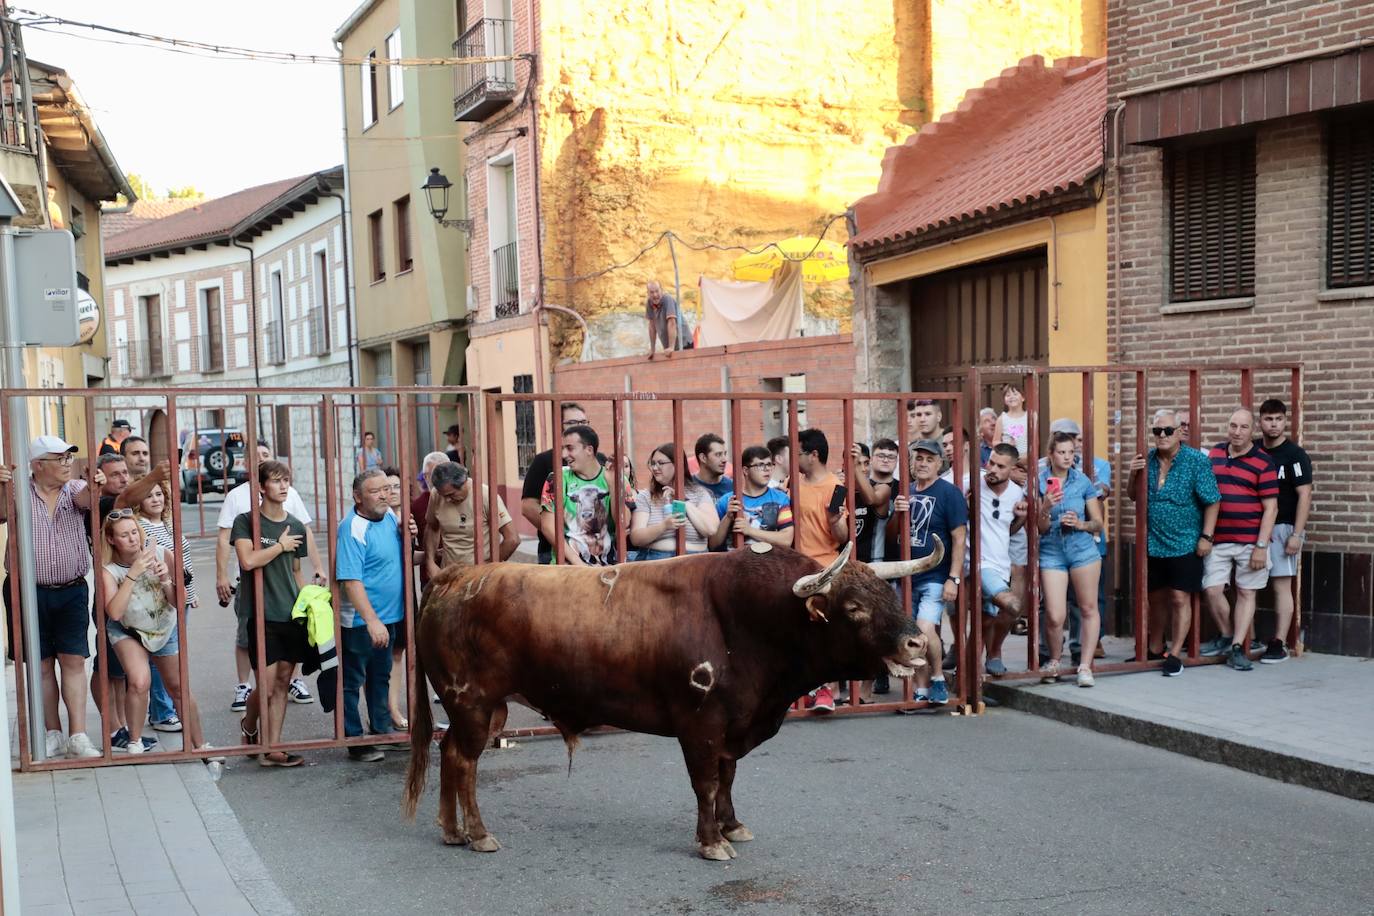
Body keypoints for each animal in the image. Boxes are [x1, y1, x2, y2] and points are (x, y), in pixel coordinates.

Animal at [403, 538, 945, 862]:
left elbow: (728, 778)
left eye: (888, 593)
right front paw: (711, 842)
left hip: (481, 709)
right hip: (473, 704)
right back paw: (478, 834)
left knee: (451, 754)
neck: (751, 618)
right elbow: (705, 783)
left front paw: (732, 826)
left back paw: (451, 831)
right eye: (853, 607)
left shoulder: (732, 726)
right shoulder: (700, 725)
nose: (917, 642)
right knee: (463, 761)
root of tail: (454, 577)